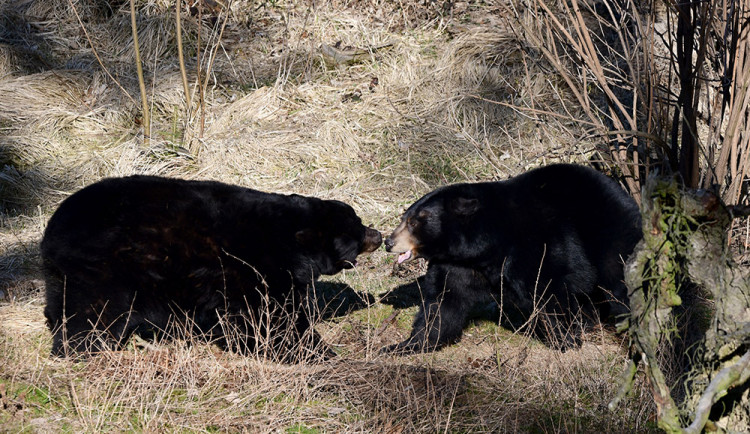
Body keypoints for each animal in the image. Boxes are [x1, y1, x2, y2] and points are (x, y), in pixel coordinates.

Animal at [41, 175, 382, 362]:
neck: (291, 238)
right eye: (357, 227)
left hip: (64, 275)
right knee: (93, 312)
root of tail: (53, 228)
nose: (378, 234)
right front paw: (316, 352)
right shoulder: (256, 267)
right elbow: (271, 316)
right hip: (103, 268)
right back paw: (84, 349)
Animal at [384, 163, 644, 352]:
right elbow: (443, 302)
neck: (484, 246)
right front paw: (405, 345)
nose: (389, 242)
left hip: (609, 232)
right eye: (405, 217)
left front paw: (566, 340)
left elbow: (549, 287)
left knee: (618, 280)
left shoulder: (536, 245)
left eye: (414, 221)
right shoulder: (456, 264)